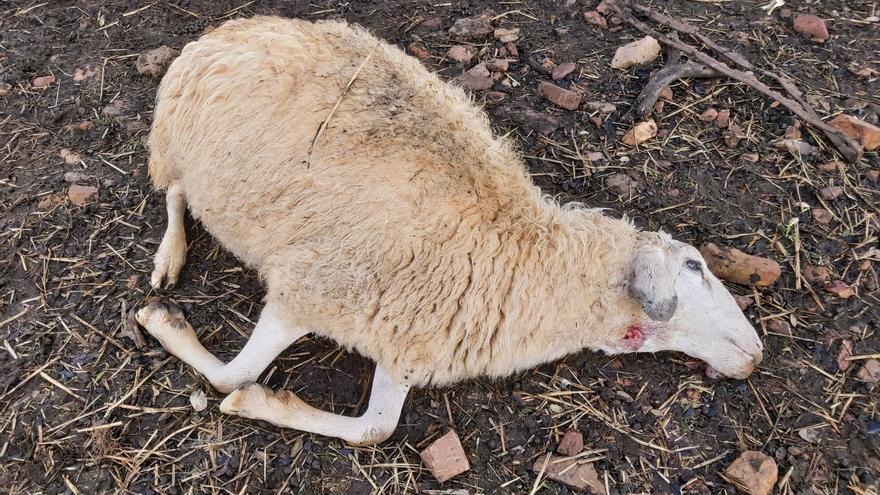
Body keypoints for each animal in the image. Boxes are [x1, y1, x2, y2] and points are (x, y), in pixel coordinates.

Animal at [138, 17, 764, 448]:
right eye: (693, 266)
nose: (757, 354)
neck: (527, 261)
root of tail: (231, 29)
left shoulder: (403, 342)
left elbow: (376, 429)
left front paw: (267, 403)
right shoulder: (307, 291)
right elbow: (232, 377)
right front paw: (167, 328)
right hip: (176, 141)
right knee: (173, 192)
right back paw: (168, 260)